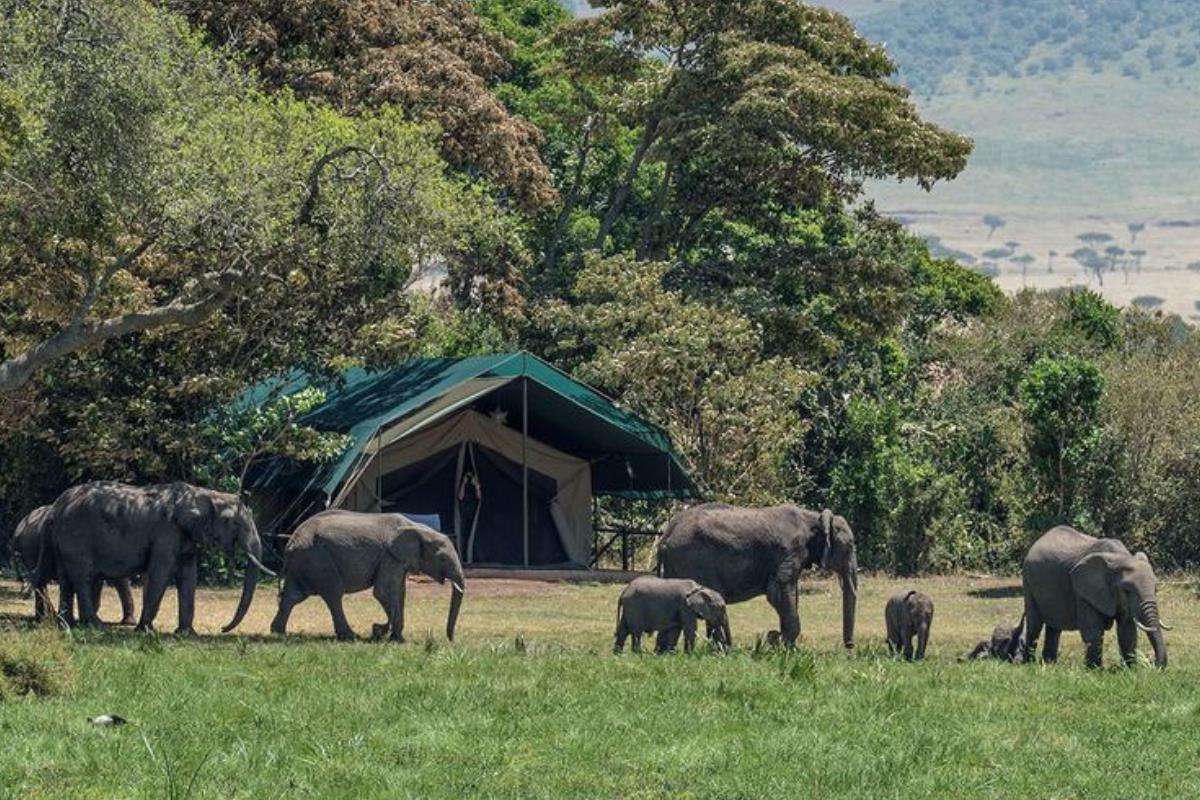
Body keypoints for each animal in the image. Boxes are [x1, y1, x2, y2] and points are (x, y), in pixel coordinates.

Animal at [38, 484, 273, 633]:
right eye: (231, 522)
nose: (223, 629)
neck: (202, 493)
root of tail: (56, 507)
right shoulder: (166, 532)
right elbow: (161, 574)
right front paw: (145, 630)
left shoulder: (185, 536)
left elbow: (189, 576)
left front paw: (186, 633)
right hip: (76, 536)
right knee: (83, 577)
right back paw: (94, 625)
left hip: (62, 541)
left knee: (67, 579)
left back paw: (68, 624)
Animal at [265, 513, 465, 642]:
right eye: (442, 558)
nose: (450, 640)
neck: (417, 527)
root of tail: (290, 542)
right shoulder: (389, 557)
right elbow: (383, 593)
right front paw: (386, 634)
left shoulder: (397, 560)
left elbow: (399, 593)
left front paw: (394, 636)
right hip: (317, 558)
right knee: (333, 595)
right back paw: (350, 636)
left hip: (305, 562)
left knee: (292, 596)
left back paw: (278, 632)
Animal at [652, 506, 859, 652]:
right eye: (849, 547)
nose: (849, 646)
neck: (813, 517)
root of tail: (664, 538)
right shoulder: (789, 552)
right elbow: (778, 592)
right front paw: (786, 649)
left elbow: (790, 595)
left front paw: (783, 644)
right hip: (693, 559)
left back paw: (665, 653)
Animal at [1022, 525, 1171, 671]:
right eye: (1127, 590)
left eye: (1156, 590)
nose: (1152, 663)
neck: (1119, 558)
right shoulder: (1083, 591)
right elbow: (1093, 630)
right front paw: (1094, 670)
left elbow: (1127, 629)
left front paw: (1129, 670)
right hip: (1028, 580)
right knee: (1034, 623)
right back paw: (1029, 663)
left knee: (1054, 627)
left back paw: (1049, 664)